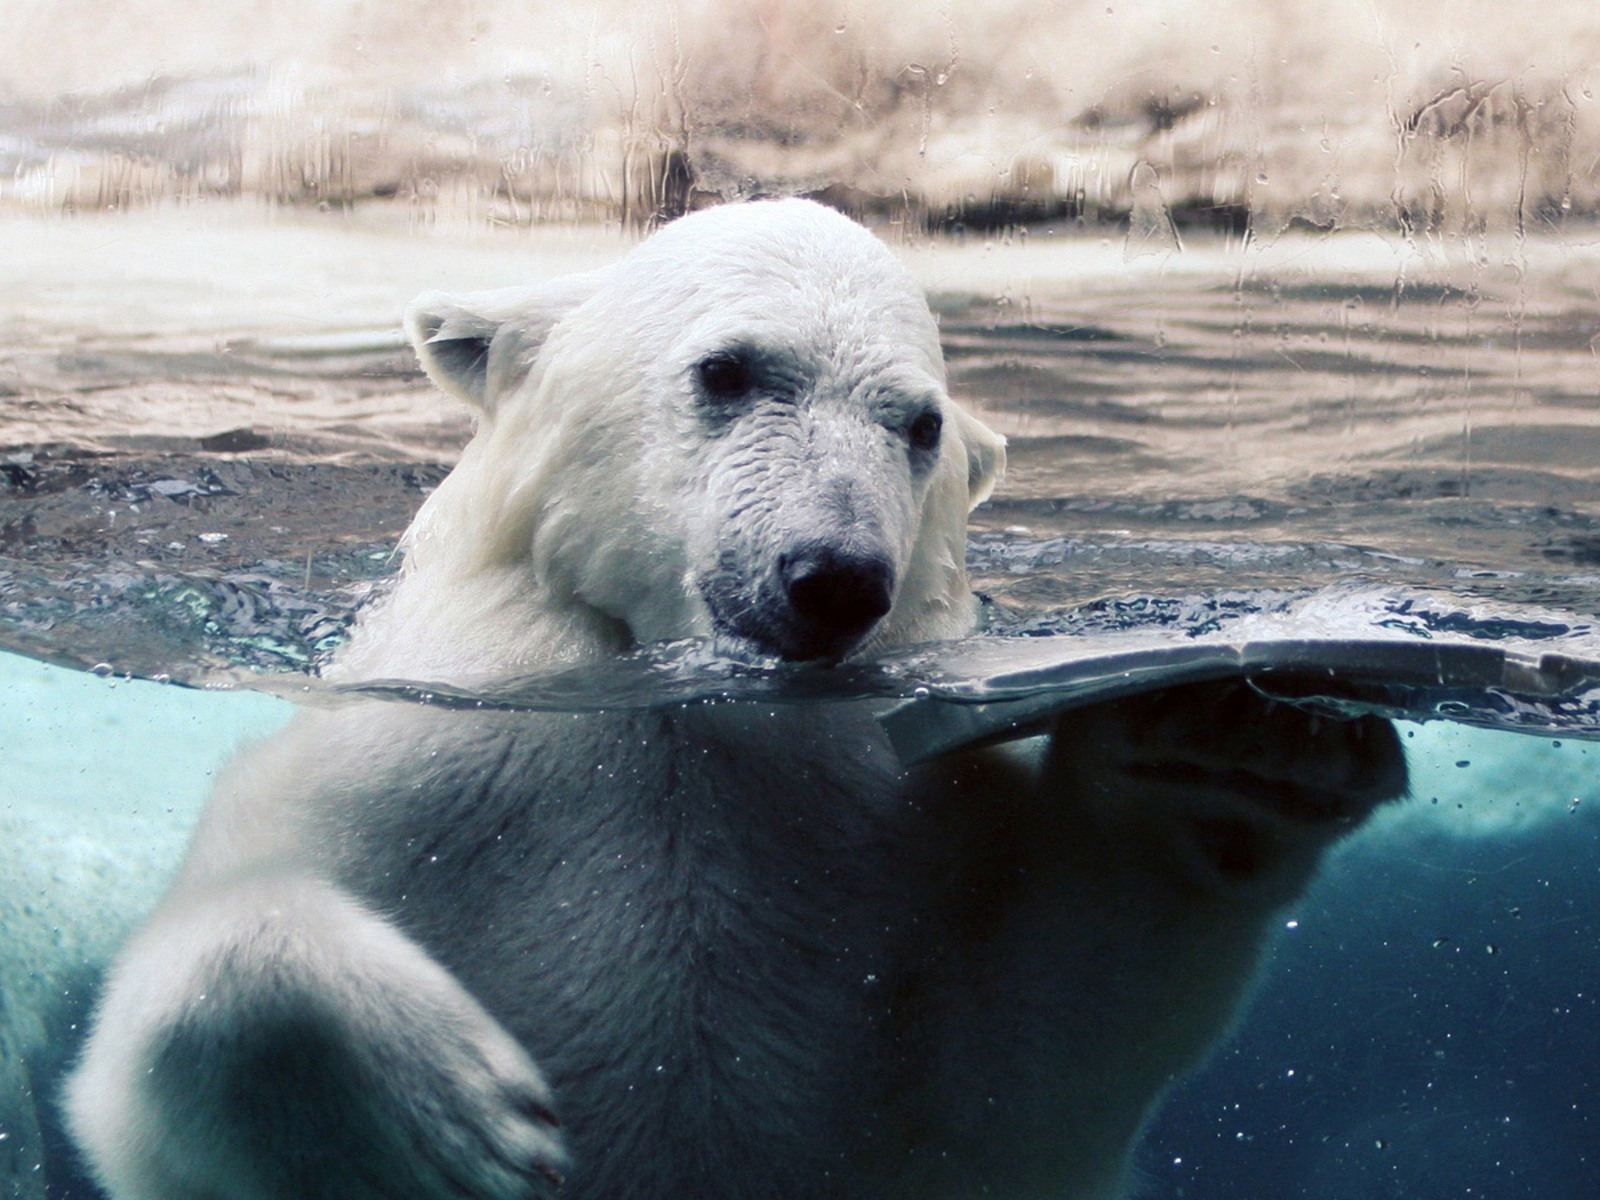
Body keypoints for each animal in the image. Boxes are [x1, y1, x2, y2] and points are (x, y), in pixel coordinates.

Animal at [68, 202, 1408, 1200]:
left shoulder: (902, 839)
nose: (833, 577)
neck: (682, 710)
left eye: (919, 424)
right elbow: (160, 1038)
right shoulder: (420, 765)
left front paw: (1232, 740)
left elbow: (1028, 1055)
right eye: (727, 370)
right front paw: (451, 1129)